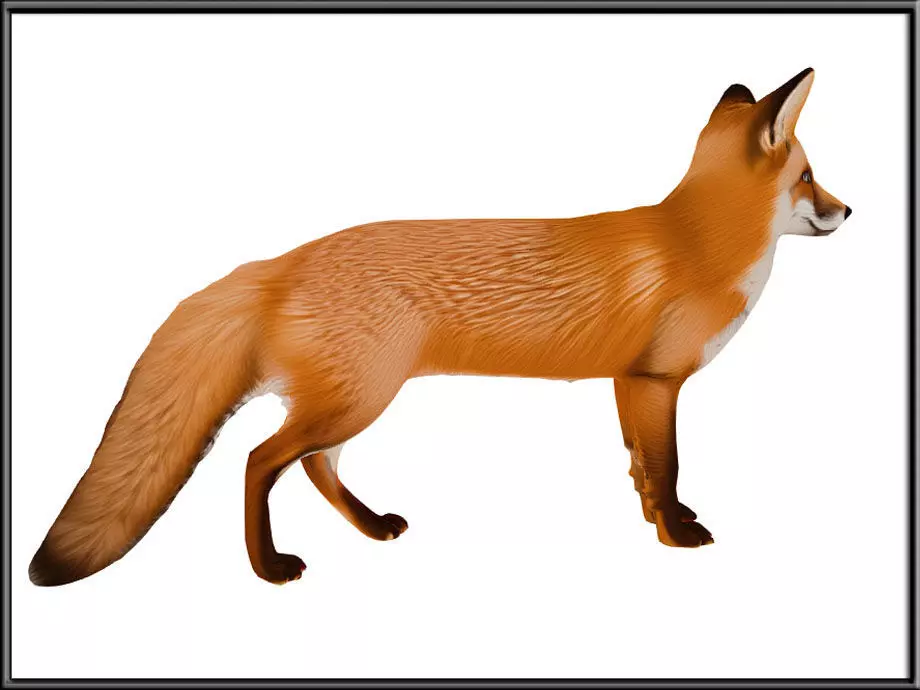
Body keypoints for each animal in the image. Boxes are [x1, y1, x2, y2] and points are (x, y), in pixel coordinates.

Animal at [29, 67, 851, 586]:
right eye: (809, 178)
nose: (849, 210)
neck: (694, 242)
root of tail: (286, 259)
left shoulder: (628, 383)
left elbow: (642, 471)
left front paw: (655, 521)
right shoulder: (653, 381)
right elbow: (669, 465)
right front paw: (678, 534)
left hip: (348, 403)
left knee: (316, 468)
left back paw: (370, 528)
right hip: (355, 400)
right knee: (259, 462)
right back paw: (269, 569)